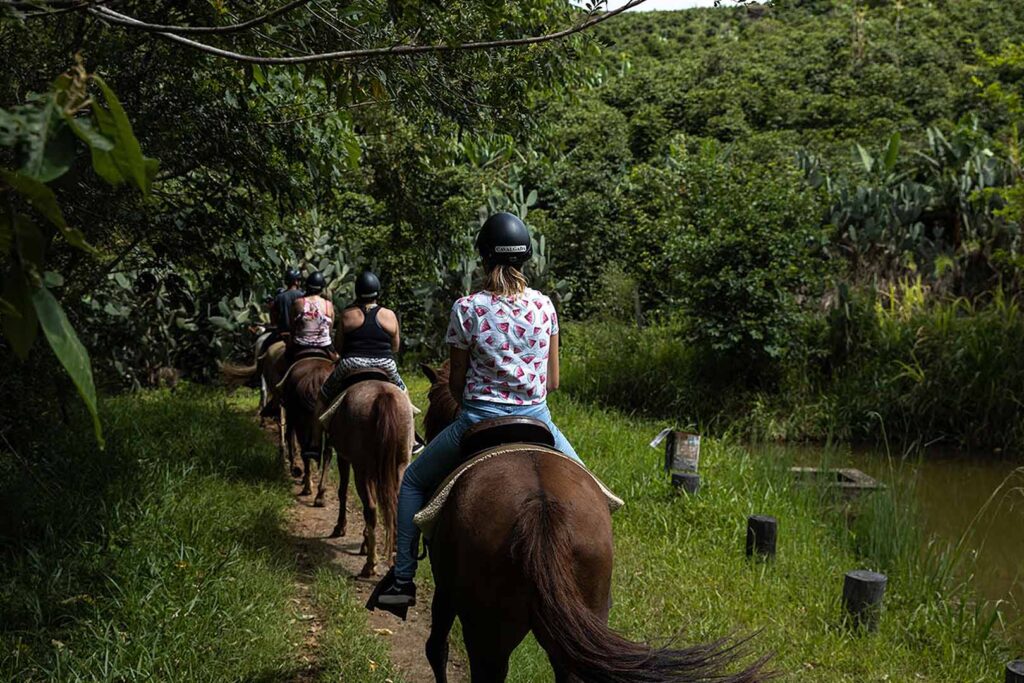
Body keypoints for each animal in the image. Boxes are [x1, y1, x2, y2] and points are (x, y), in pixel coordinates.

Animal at [321, 376, 413, 581]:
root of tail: (383, 395)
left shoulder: (344, 458)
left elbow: (342, 491)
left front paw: (340, 527)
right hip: (401, 464)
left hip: (361, 469)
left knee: (370, 509)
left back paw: (370, 565)